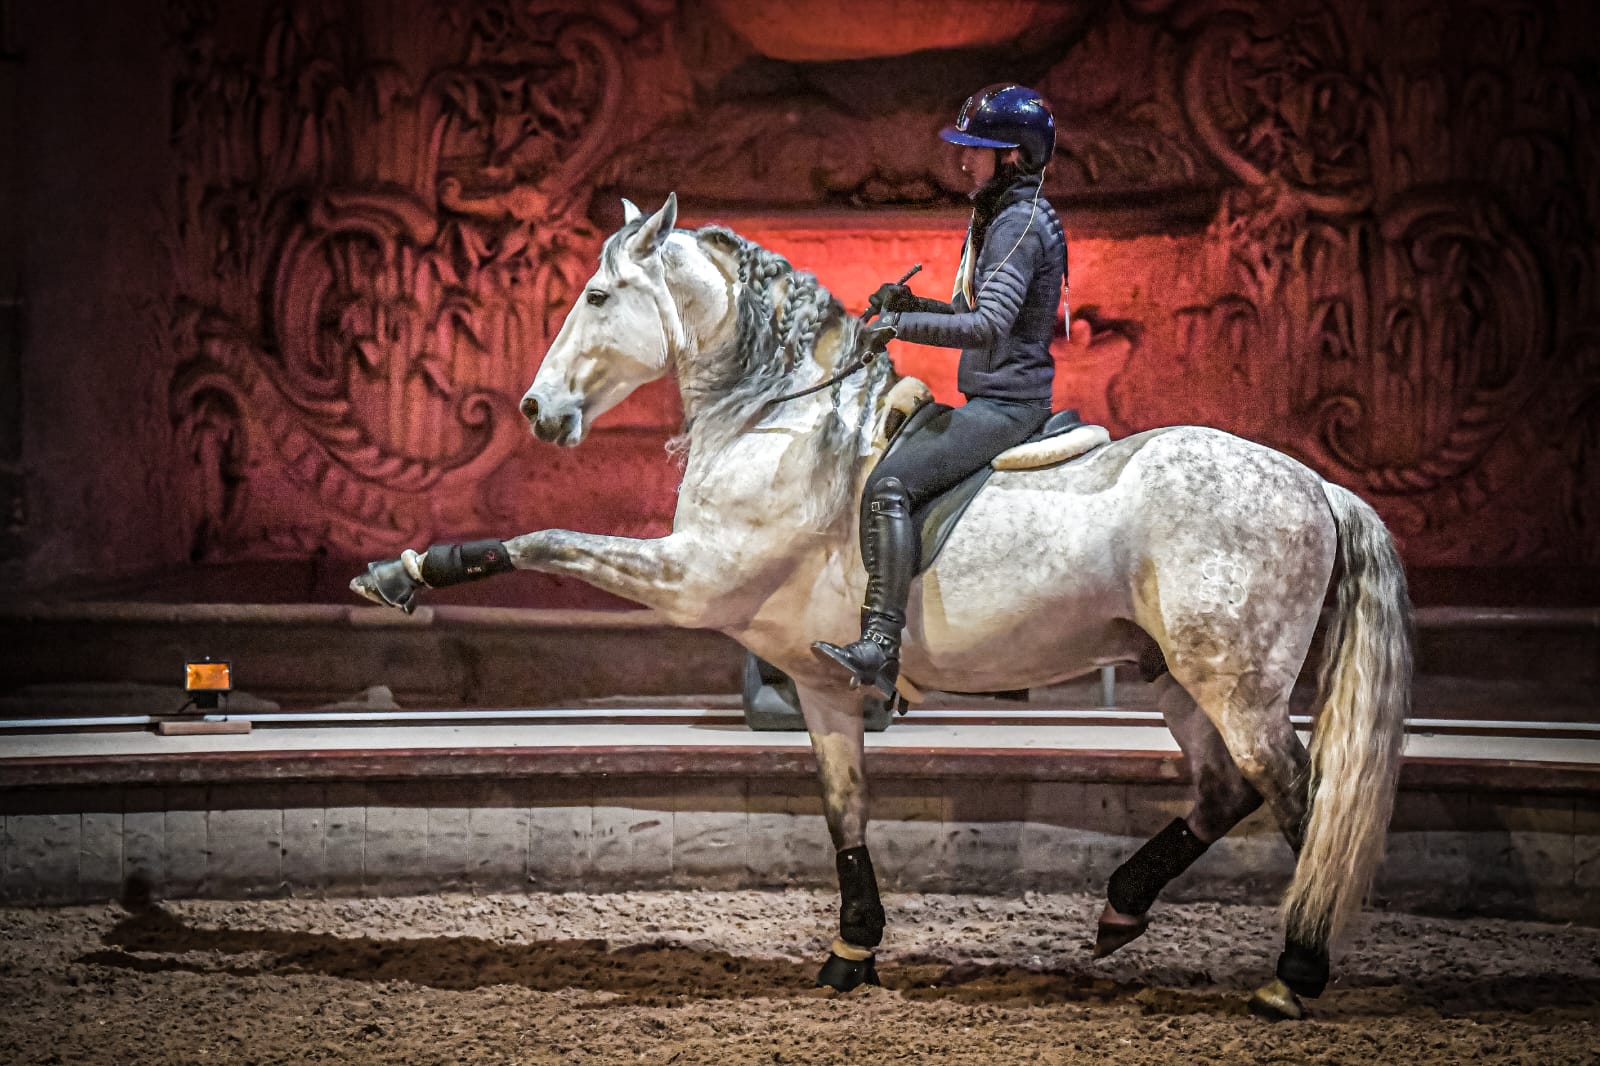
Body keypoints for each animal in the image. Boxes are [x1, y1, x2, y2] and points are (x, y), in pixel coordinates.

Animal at [353, 195, 1414, 1017]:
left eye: (598, 296)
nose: (538, 411)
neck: (776, 413)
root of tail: (1318, 485)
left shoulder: (692, 578)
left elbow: (544, 540)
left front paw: (407, 571)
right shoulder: (817, 683)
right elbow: (844, 809)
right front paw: (852, 951)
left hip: (1235, 681)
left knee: (1304, 796)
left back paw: (1294, 975)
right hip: (1176, 677)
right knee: (1228, 789)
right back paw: (1121, 908)